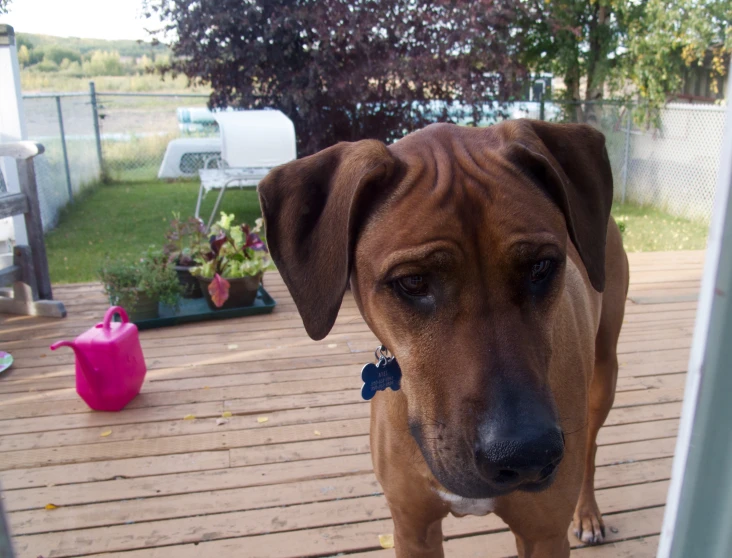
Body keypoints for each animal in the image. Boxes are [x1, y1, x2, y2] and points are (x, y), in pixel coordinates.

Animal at [258, 120, 628, 556]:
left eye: (540, 266)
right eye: (414, 281)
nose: (526, 454)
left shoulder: (544, 535)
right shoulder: (412, 527)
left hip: (603, 374)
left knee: (590, 445)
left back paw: (588, 513)